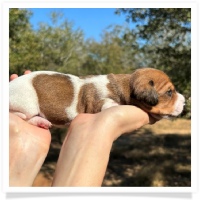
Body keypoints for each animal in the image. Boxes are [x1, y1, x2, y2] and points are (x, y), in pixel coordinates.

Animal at [9, 68, 184, 129]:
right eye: (170, 92)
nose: (185, 101)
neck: (124, 86)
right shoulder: (98, 103)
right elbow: (106, 103)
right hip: (27, 102)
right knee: (20, 115)